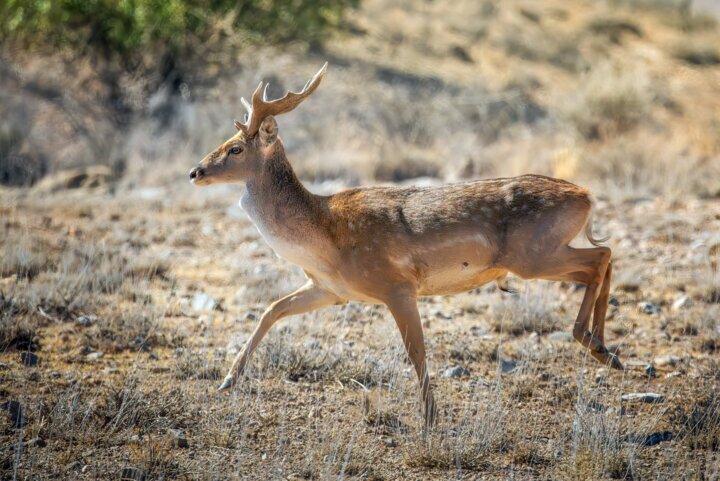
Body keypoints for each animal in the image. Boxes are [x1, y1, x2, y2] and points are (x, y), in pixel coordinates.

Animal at [188, 62, 620, 424]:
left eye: (235, 148)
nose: (195, 171)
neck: (326, 238)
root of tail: (587, 197)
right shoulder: (333, 290)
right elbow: (272, 309)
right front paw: (227, 380)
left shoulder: (396, 285)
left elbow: (417, 350)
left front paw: (430, 419)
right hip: (539, 254)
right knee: (604, 257)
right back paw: (605, 350)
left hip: (533, 255)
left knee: (601, 255)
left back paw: (595, 345)